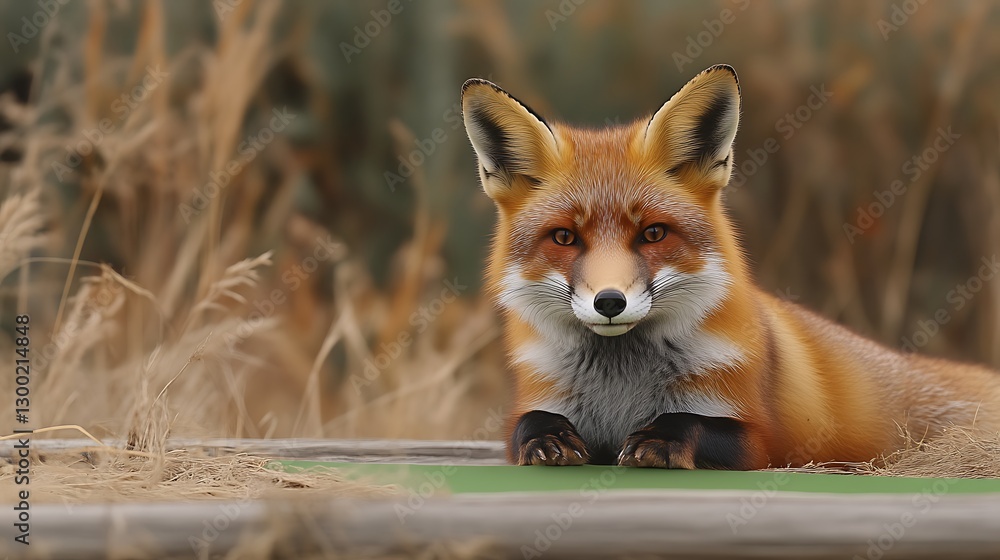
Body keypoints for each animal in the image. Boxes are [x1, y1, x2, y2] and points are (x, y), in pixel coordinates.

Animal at [460, 65, 1000, 469]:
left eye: (653, 234)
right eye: (564, 238)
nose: (609, 302)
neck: (621, 391)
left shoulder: (762, 440)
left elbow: (692, 423)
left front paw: (658, 439)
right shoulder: (533, 406)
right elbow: (526, 425)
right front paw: (547, 438)